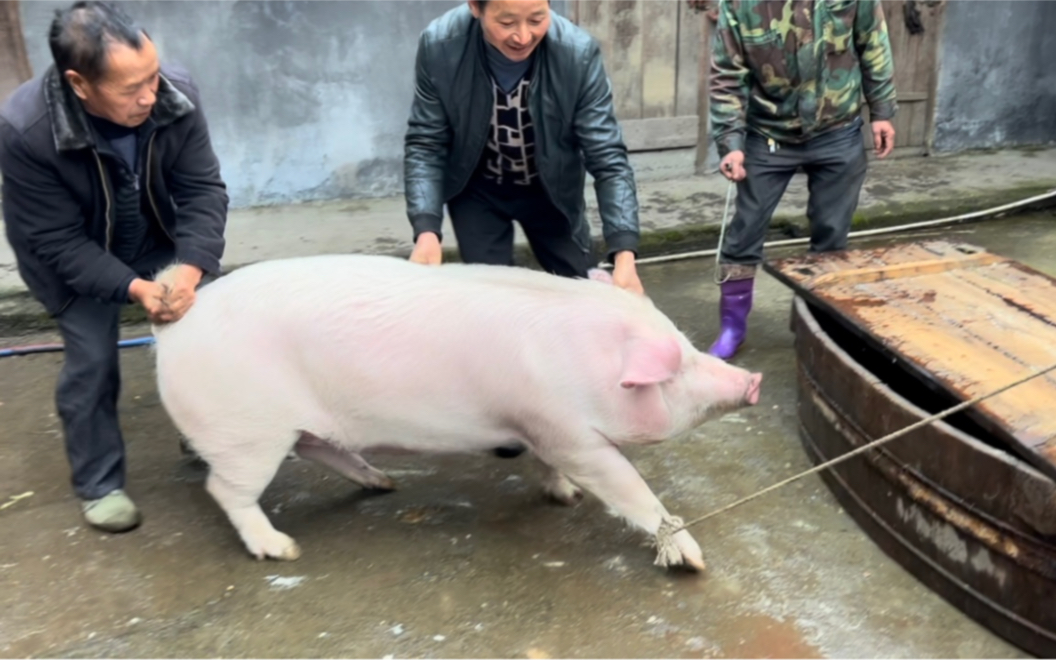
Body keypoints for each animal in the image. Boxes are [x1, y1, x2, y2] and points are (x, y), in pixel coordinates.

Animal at [151, 254, 760, 570]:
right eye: (675, 367)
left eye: (686, 342)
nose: (752, 380)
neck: (579, 361)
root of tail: (173, 326)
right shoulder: (567, 430)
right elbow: (628, 487)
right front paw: (695, 560)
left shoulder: (540, 426)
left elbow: (550, 466)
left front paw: (565, 497)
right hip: (243, 432)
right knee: (227, 491)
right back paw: (283, 550)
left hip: (291, 429)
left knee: (322, 449)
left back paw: (384, 483)